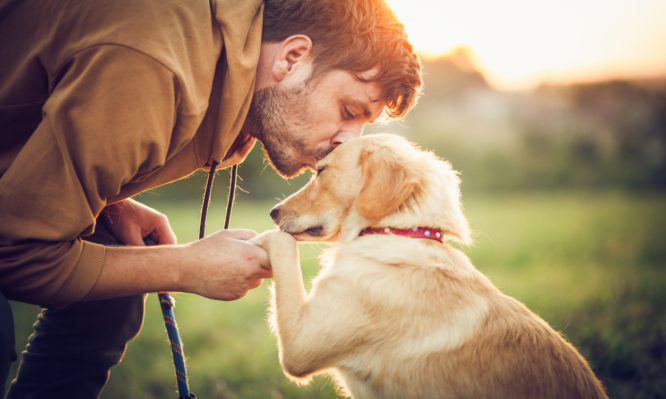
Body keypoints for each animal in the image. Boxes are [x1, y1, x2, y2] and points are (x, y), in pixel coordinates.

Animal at [253, 133, 608, 398]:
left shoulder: (300, 346)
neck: (397, 231)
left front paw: (258, 238)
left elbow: (282, 246)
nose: (272, 212)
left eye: (322, 171)